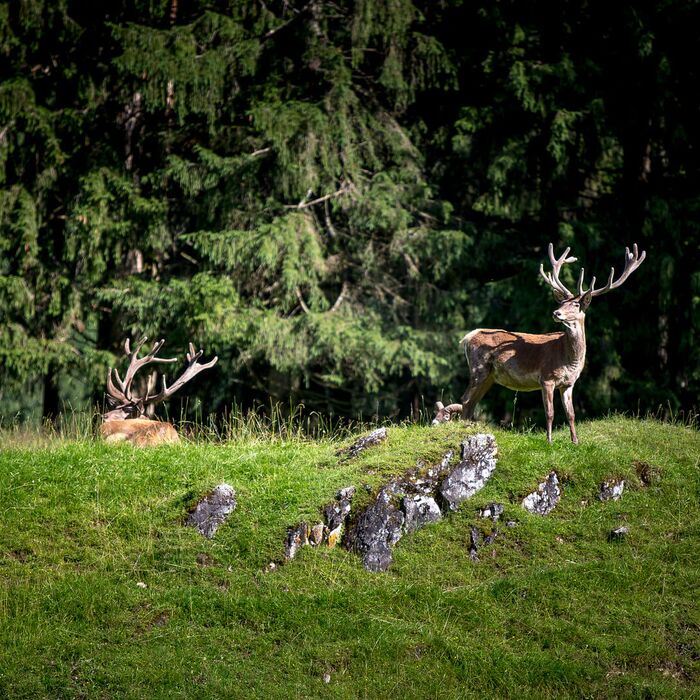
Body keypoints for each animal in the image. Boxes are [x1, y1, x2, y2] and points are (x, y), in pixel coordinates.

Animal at [433, 243, 646, 443]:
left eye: (576, 304)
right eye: (562, 303)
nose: (556, 313)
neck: (569, 359)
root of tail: (469, 336)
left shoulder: (569, 383)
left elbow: (571, 414)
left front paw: (575, 442)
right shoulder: (547, 378)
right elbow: (550, 413)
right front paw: (549, 441)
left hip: (490, 376)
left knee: (472, 401)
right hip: (479, 367)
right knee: (466, 399)